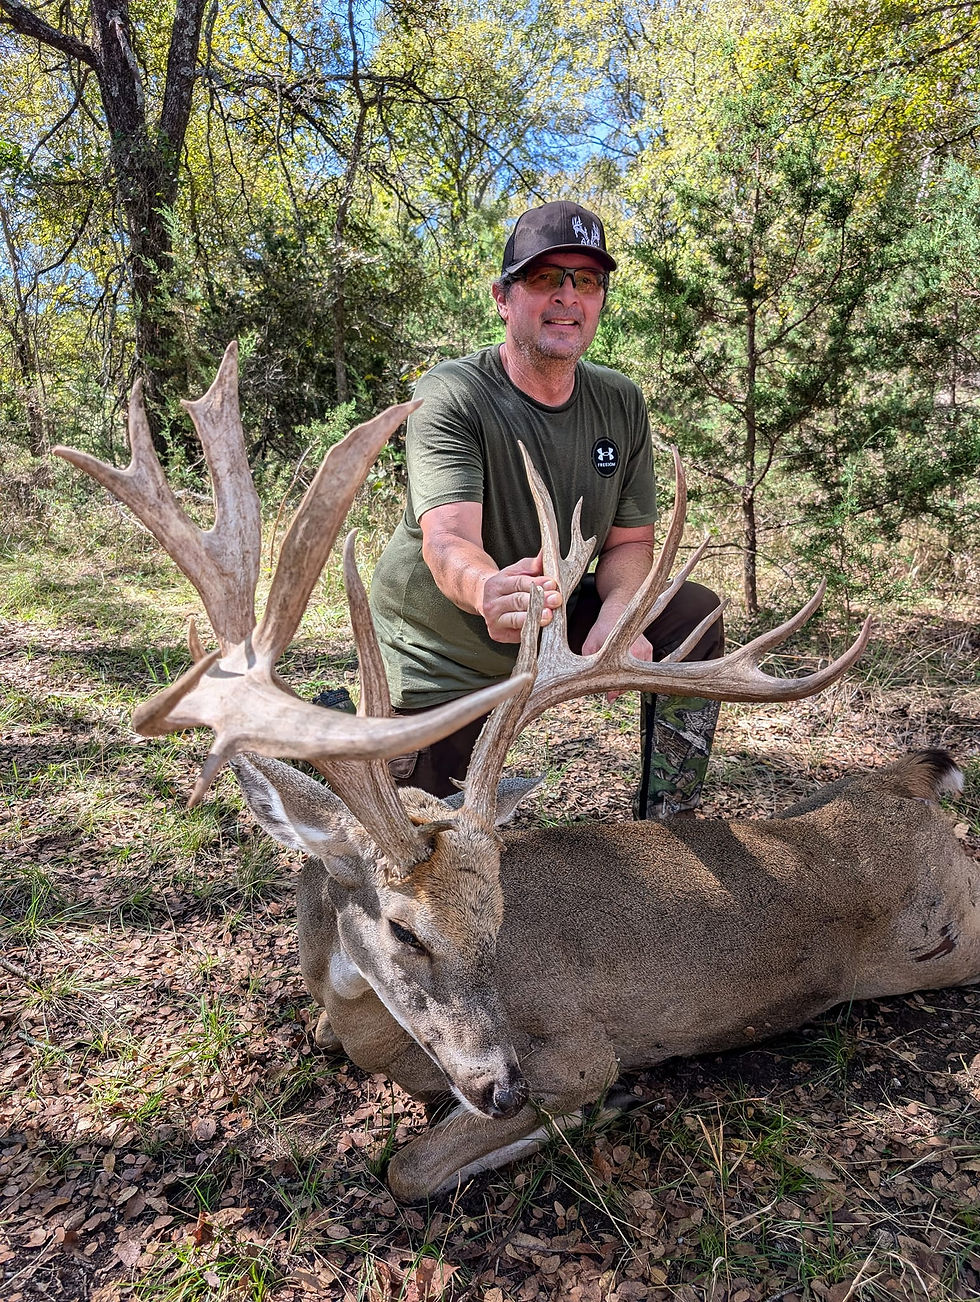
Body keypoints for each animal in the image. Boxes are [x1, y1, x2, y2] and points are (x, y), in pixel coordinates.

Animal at [57, 346, 979, 1203]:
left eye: (498, 922)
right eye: (404, 931)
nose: (501, 1087)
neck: (354, 1012)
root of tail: (917, 783)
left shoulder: (580, 1050)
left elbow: (409, 1166)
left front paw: (592, 1111)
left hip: (947, 938)